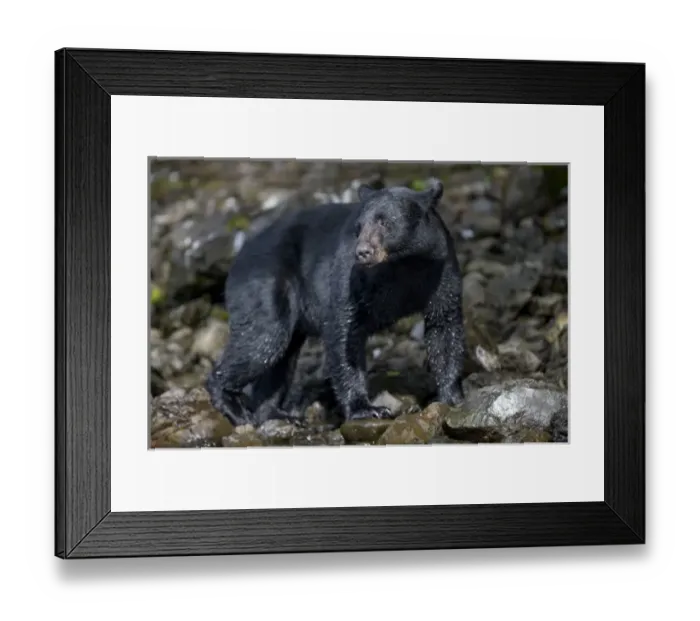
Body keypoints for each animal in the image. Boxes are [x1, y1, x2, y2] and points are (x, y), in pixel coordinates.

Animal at [205, 177, 466, 427]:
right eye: (358, 228)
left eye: (384, 222)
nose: (362, 252)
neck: (404, 264)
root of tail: (239, 254)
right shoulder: (352, 280)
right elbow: (344, 333)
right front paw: (366, 409)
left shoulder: (441, 272)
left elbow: (445, 330)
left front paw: (451, 398)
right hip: (264, 286)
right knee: (263, 341)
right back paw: (234, 407)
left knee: (281, 356)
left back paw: (274, 414)